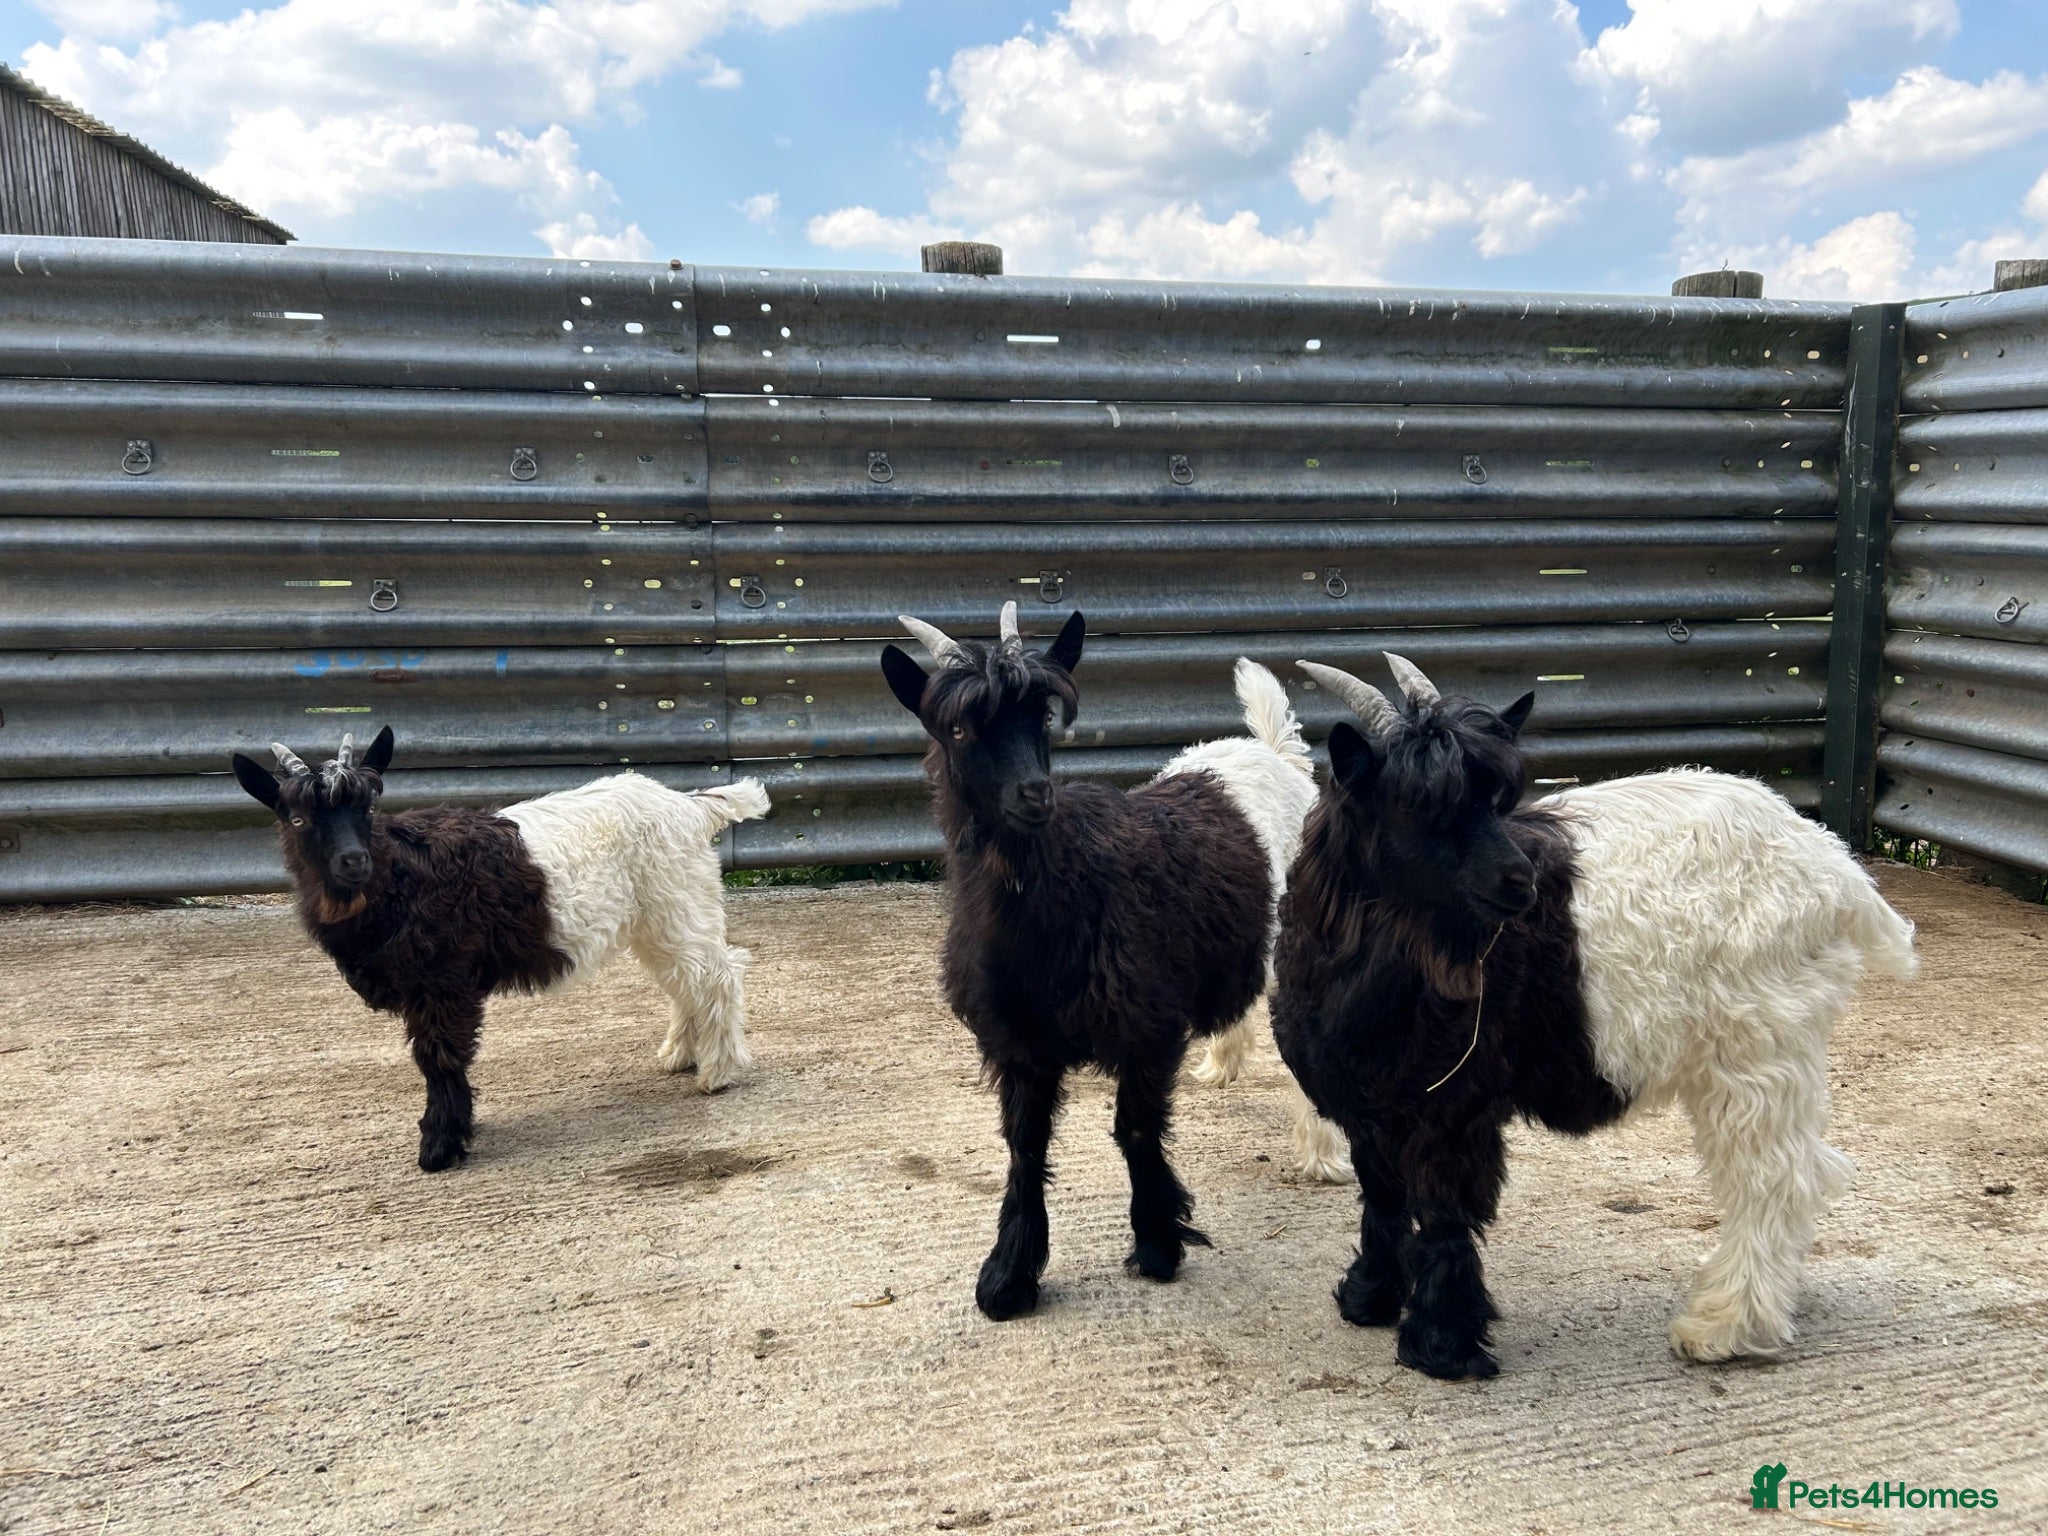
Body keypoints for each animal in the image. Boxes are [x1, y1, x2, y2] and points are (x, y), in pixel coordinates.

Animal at [231, 728, 770, 1171]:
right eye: (297, 819)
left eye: (366, 808)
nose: (352, 861)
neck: (397, 875)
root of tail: (692, 806)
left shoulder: (442, 982)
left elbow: (439, 1056)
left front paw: (440, 1146)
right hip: (658, 918)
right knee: (685, 981)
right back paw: (682, 1055)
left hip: (677, 902)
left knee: (718, 974)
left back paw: (716, 1073)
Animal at [880, 601, 1340, 1319]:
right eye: (958, 727)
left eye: (1042, 716)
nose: (1034, 795)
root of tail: (1274, 755)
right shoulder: (1017, 1040)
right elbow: (1025, 1145)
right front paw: (1009, 1276)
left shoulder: (1148, 1026)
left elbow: (1135, 1131)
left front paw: (1157, 1245)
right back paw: (1223, 1064)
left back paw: (1321, 1153)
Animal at [1270, 654, 1917, 1378]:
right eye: (1416, 806)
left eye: (1495, 797)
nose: (1520, 882)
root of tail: (1835, 867)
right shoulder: (1366, 1103)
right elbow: (1382, 1197)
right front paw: (1369, 1297)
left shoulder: (1452, 1105)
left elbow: (1442, 1212)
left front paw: (1442, 1344)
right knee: (1805, 1169)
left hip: (1759, 1046)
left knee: (1776, 1180)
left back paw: (1724, 1326)